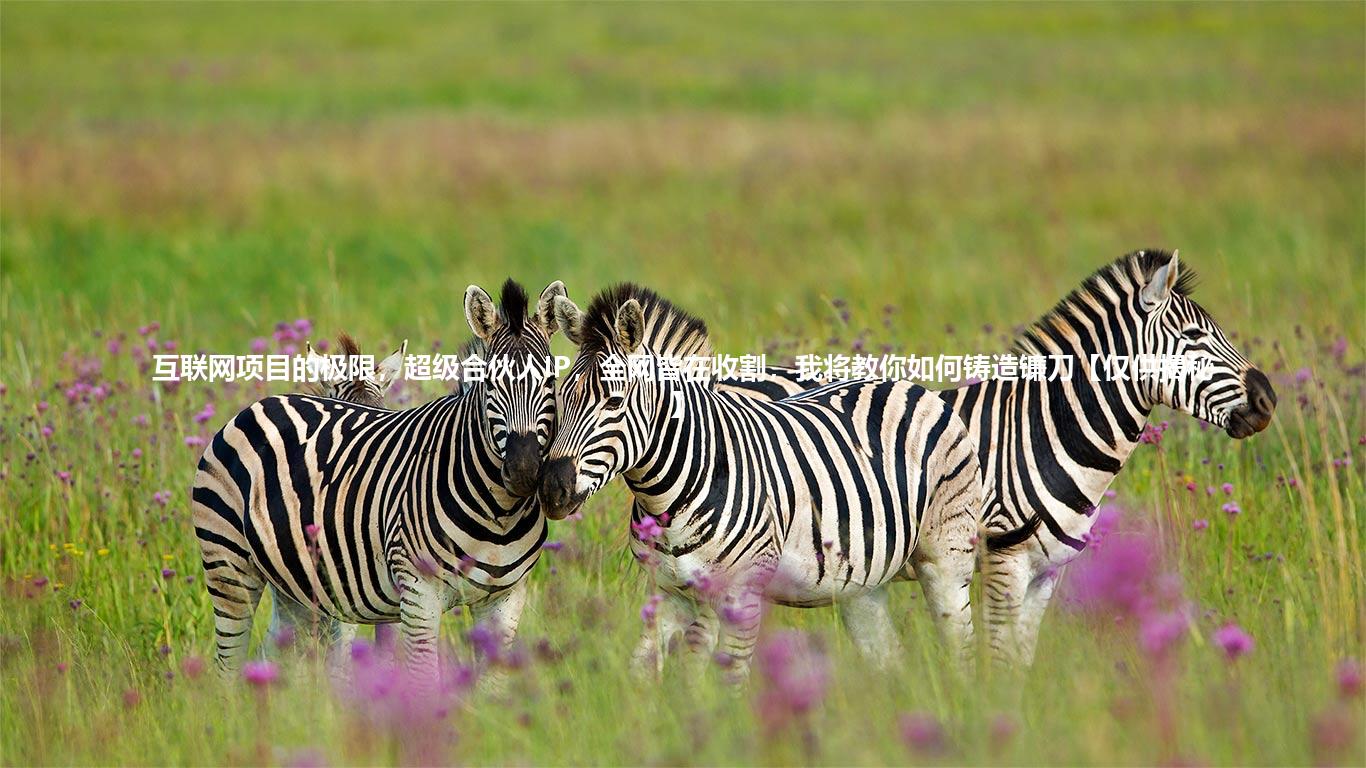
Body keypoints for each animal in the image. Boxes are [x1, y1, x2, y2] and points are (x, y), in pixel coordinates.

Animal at [192, 277, 565, 672]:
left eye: (551, 381)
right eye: (490, 384)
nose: (524, 470)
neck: (498, 513)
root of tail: (262, 404)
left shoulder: (501, 598)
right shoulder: (410, 592)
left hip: (289, 584)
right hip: (228, 565)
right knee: (228, 664)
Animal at [538, 284, 988, 677]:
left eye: (614, 401)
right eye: (559, 397)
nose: (552, 489)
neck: (670, 494)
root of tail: (911, 386)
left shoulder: (741, 594)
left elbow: (728, 678)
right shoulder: (669, 591)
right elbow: (645, 674)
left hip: (946, 558)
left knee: (962, 649)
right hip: (863, 583)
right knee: (888, 659)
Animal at [939, 250, 1278, 664]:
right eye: (1194, 336)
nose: (1268, 400)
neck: (1041, 432)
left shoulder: (1045, 571)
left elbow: (1022, 658)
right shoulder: (1004, 558)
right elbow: (1001, 655)